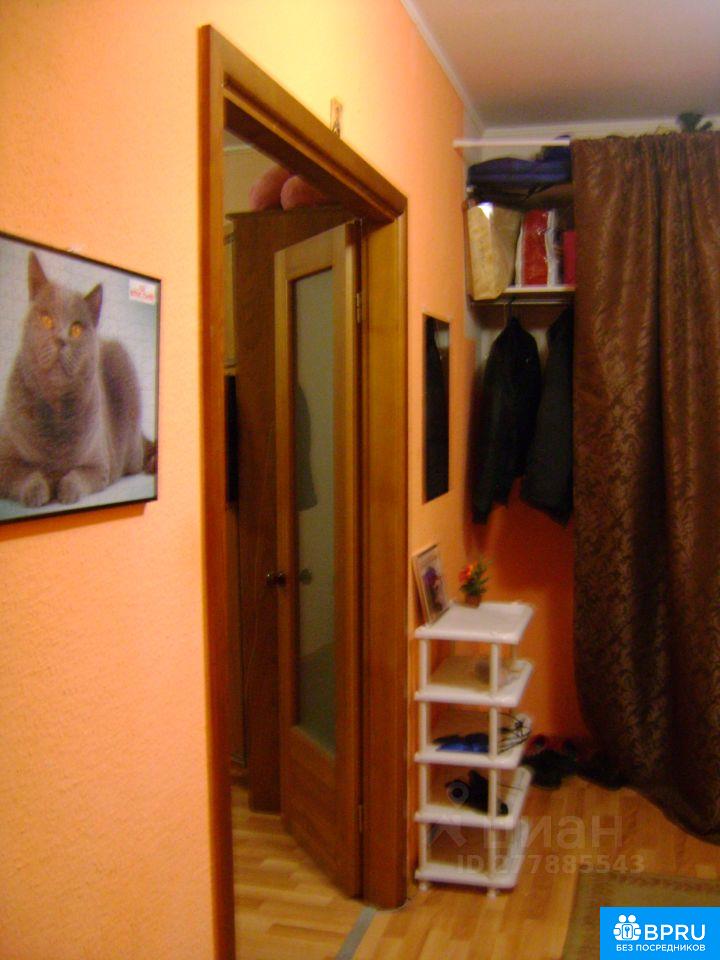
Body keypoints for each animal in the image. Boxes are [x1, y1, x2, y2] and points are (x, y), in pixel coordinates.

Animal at [0, 251, 157, 508]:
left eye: (76, 329)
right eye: (46, 319)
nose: (61, 340)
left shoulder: (100, 465)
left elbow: (74, 478)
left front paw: (62, 491)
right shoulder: (5, 461)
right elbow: (26, 476)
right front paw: (40, 491)